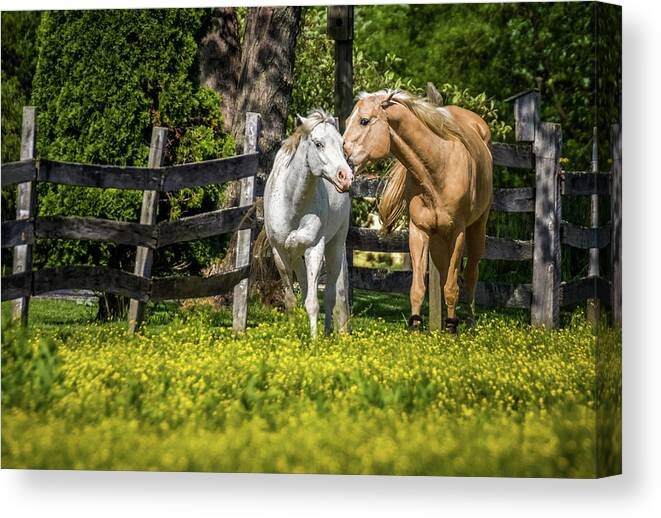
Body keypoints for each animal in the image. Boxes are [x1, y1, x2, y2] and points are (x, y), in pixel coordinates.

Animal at [262, 109, 356, 338]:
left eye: (341, 144)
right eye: (318, 143)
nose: (346, 178)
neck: (292, 201)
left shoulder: (315, 248)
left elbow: (313, 302)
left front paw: (314, 341)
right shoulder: (280, 253)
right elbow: (291, 300)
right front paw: (292, 335)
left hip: (334, 247)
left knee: (330, 295)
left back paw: (327, 332)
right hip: (296, 255)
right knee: (306, 288)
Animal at [342, 90, 492, 334]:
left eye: (364, 121)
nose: (342, 158)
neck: (438, 167)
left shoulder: (457, 233)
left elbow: (453, 286)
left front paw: (453, 330)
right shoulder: (419, 230)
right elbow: (419, 287)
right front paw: (416, 327)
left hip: (477, 229)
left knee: (470, 275)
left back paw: (469, 324)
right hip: (438, 239)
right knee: (443, 276)